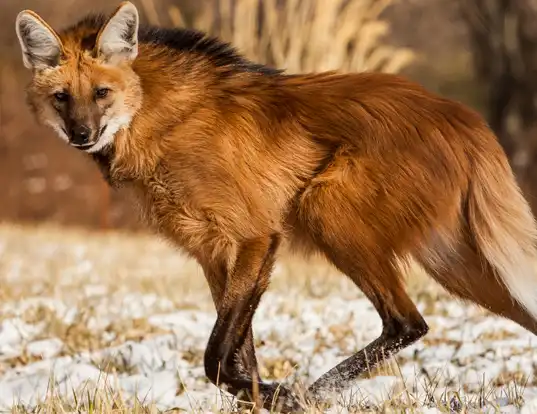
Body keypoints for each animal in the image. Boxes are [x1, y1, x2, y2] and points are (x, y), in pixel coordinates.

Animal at [14, 1, 536, 412]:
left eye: (101, 93)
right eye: (62, 98)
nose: (82, 135)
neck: (156, 120)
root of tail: (465, 117)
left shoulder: (256, 235)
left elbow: (217, 356)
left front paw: (281, 395)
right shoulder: (213, 252)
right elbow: (237, 355)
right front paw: (260, 397)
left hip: (328, 211)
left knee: (407, 321)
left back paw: (312, 392)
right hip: (460, 265)